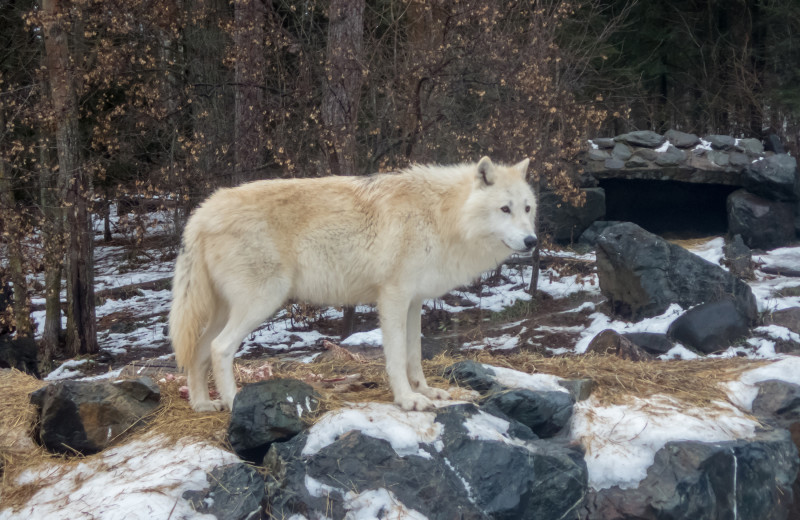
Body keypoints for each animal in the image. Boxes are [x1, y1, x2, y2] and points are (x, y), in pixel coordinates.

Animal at [172, 156, 540, 412]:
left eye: (527, 208)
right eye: (504, 209)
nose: (532, 241)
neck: (443, 215)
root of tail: (201, 212)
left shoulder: (414, 301)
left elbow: (414, 355)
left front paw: (425, 391)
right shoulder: (392, 297)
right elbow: (396, 356)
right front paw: (408, 400)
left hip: (224, 311)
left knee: (199, 351)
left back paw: (202, 404)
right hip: (261, 302)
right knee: (220, 348)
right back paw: (235, 403)